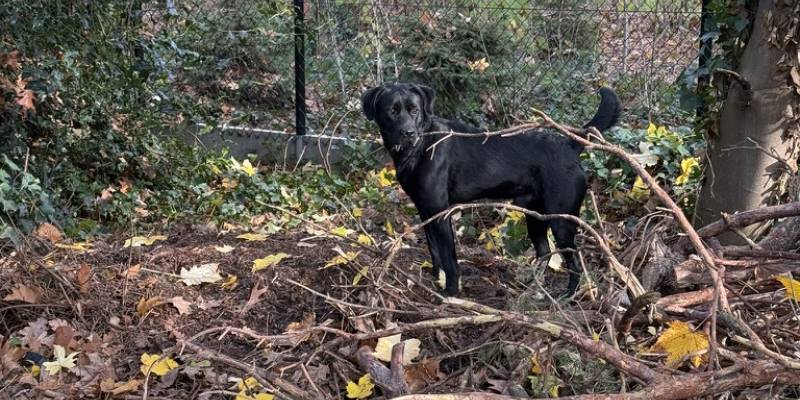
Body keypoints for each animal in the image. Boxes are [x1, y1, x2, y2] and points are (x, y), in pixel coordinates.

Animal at [362, 83, 621, 296]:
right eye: (392, 111)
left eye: (414, 110)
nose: (409, 133)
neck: (421, 146)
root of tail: (569, 144)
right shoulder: (425, 210)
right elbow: (434, 251)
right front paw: (435, 279)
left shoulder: (440, 211)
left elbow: (449, 259)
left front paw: (450, 293)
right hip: (535, 214)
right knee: (544, 251)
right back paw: (531, 286)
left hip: (561, 219)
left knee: (574, 262)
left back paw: (567, 297)